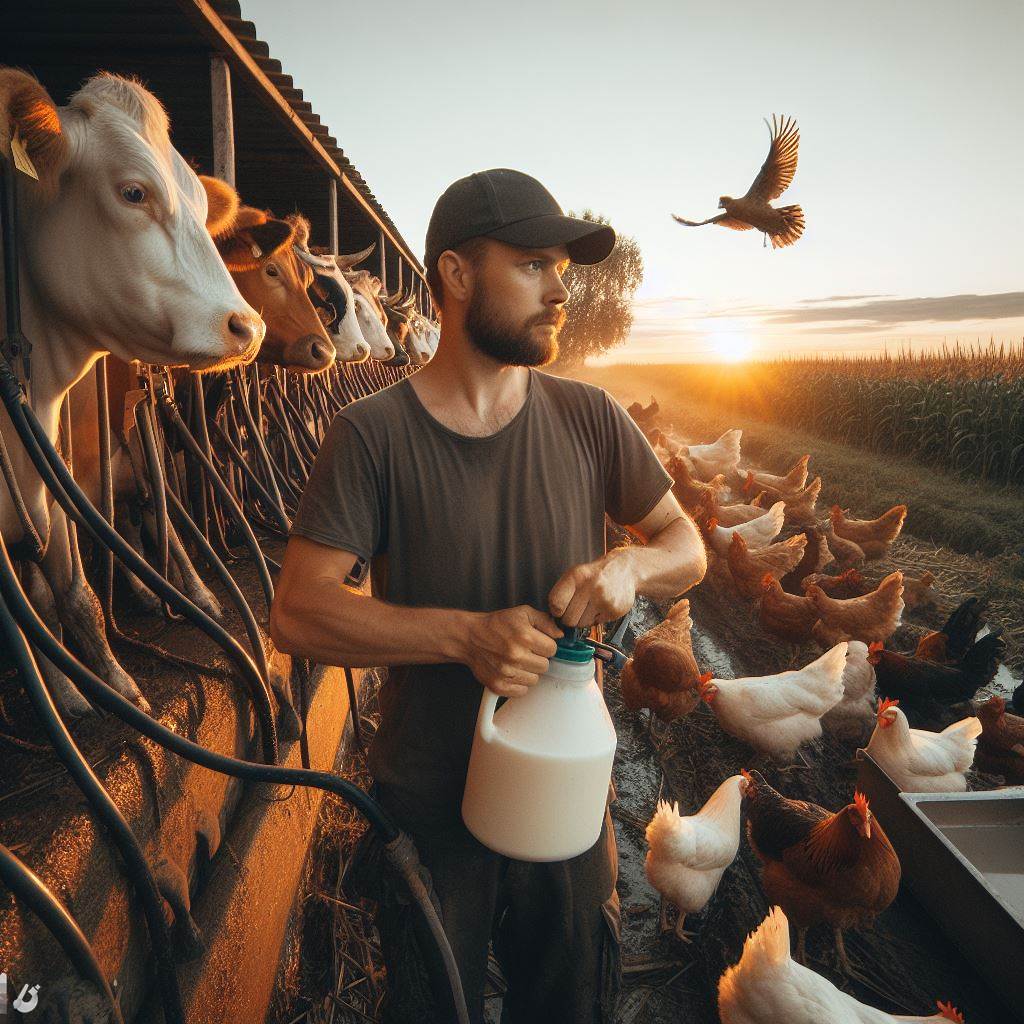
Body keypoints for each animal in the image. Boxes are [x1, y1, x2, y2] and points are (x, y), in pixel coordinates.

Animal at [1, 68, 264, 716]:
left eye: (202, 207)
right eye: (134, 193)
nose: (247, 328)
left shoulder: (51, 472)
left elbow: (75, 595)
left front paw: (113, 687)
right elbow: (36, 610)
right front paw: (74, 695)